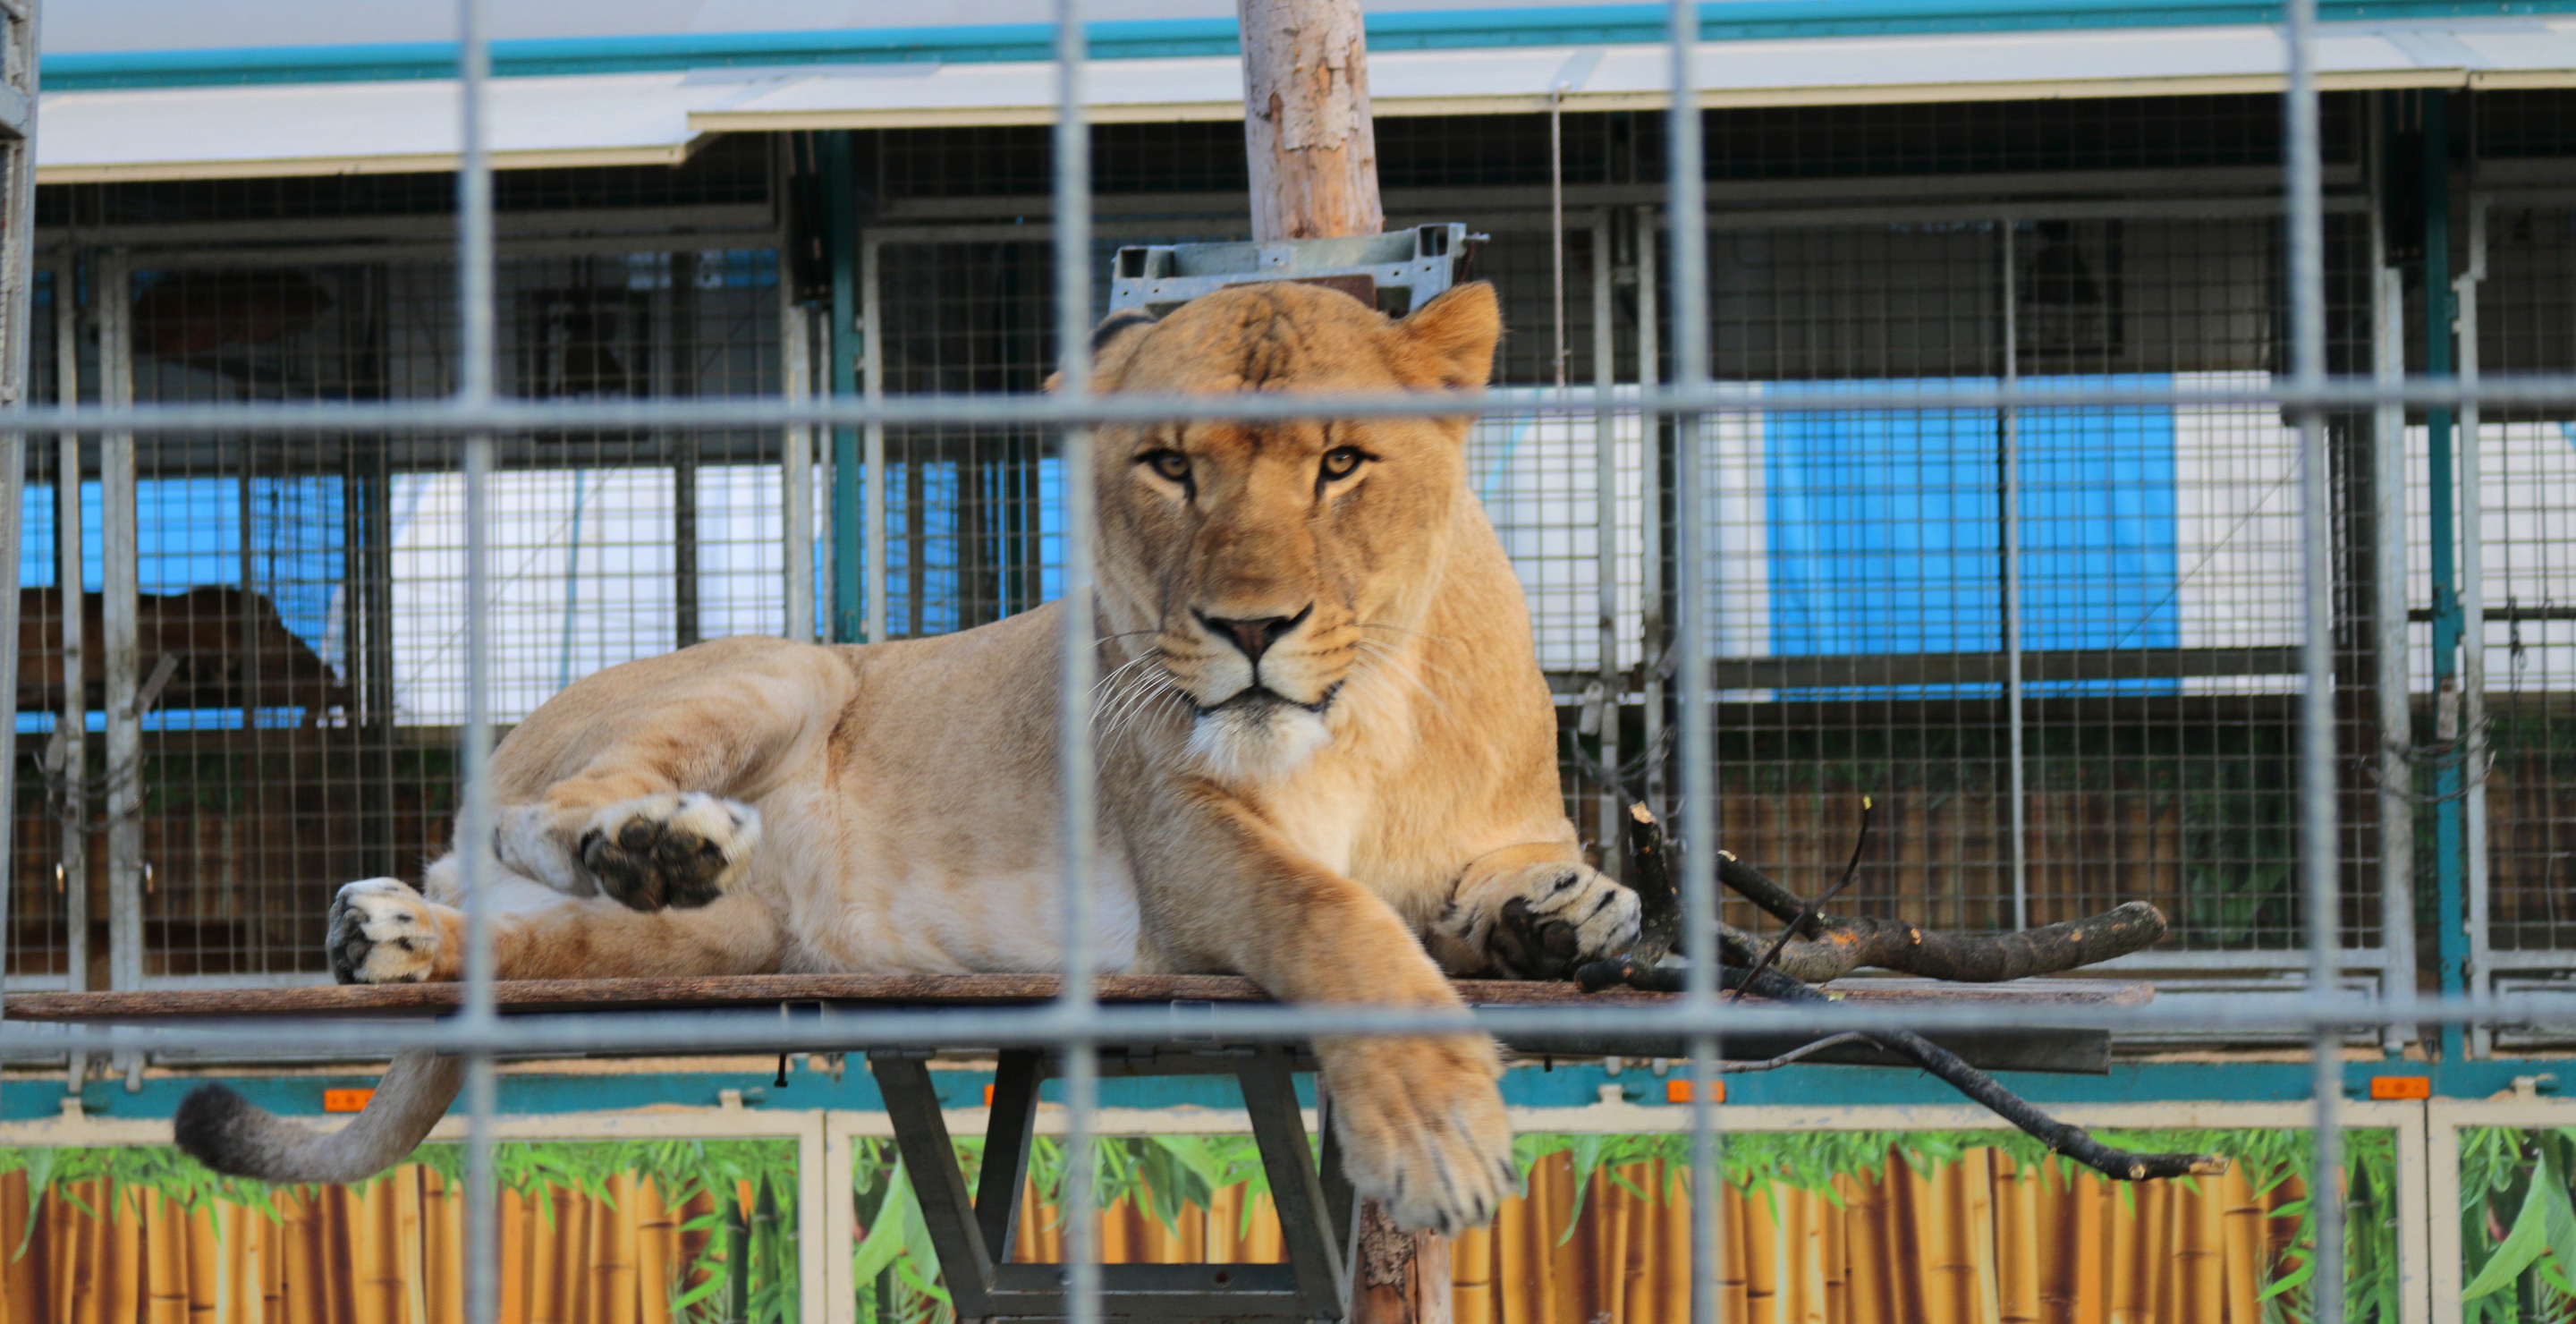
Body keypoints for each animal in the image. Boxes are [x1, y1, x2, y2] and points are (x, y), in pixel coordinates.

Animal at [173, 281, 1642, 1236]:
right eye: (1169, 467)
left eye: (1342, 462)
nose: (1249, 627)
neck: (1370, 715)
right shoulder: (1186, 851)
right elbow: (1328, 913)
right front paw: (1434, 1127)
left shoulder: (1496, 829)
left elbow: (1544, 885)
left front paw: (1561, 918)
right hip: (792, 668)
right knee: (528, 817)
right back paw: (644, 837)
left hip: (728, 941)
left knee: (534, 936)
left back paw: (402, 931)